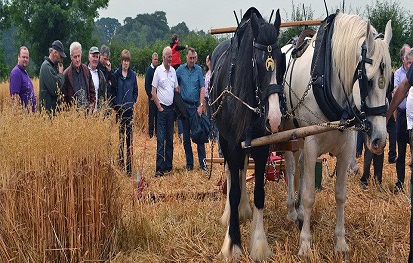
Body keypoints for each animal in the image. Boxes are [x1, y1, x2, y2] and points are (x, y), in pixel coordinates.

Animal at [209, 6, 284, 262]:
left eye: (282, 61)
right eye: (258, 64)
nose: (274, 119)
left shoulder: (262, 146)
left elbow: (259, 192)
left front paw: (259, 244)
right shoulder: (232, 144)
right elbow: (232, 191)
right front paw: (232, 244)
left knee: (241, 170)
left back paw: (243, 209)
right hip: (224, 139)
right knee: (232, 175)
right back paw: (230, 214)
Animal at [282, 11, 392, 256]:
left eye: (389, 82)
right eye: (368, 80)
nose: (379, 140)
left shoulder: (346, 147)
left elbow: (341, 195)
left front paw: (340, 243)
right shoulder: (312, 142)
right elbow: (309, 195)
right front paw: (305, 244)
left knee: (299, 166)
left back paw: (299, 214)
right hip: (287, 133)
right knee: (291, 168)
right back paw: (293, 212)